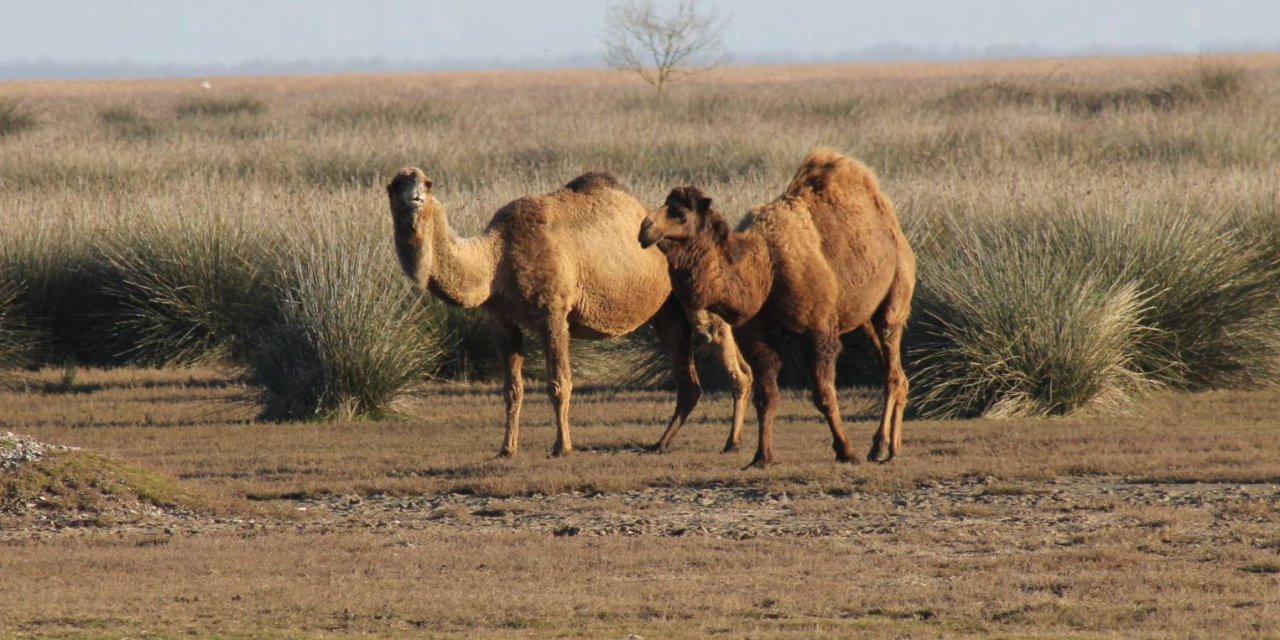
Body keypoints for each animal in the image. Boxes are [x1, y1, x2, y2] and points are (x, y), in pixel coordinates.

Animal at [384, 167, 752, 458]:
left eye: (427, 183)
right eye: (395, 184)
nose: (414, 198)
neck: (496, 258)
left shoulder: (554, 313)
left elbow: (559, 384)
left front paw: (562, 447)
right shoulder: (501, 321)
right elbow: (511, 389)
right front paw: (506, 449)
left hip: (699, 298)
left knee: (732, 360)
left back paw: (732, 443)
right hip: (668, 315)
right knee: (690, 381)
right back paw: (660, 444)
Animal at [637, 149, 916, 465]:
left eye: (680, 214)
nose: (645, 228)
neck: (764, 269)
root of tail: (894, 228)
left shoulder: (819, 330)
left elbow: (823, 394)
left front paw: (846, 451)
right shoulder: (756, 336)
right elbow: (766, 396)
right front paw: (761, 456)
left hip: (895, 298)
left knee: (892, 369)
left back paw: (880, 447)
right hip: (865, 317)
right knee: (897, 373)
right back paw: (892, 446)